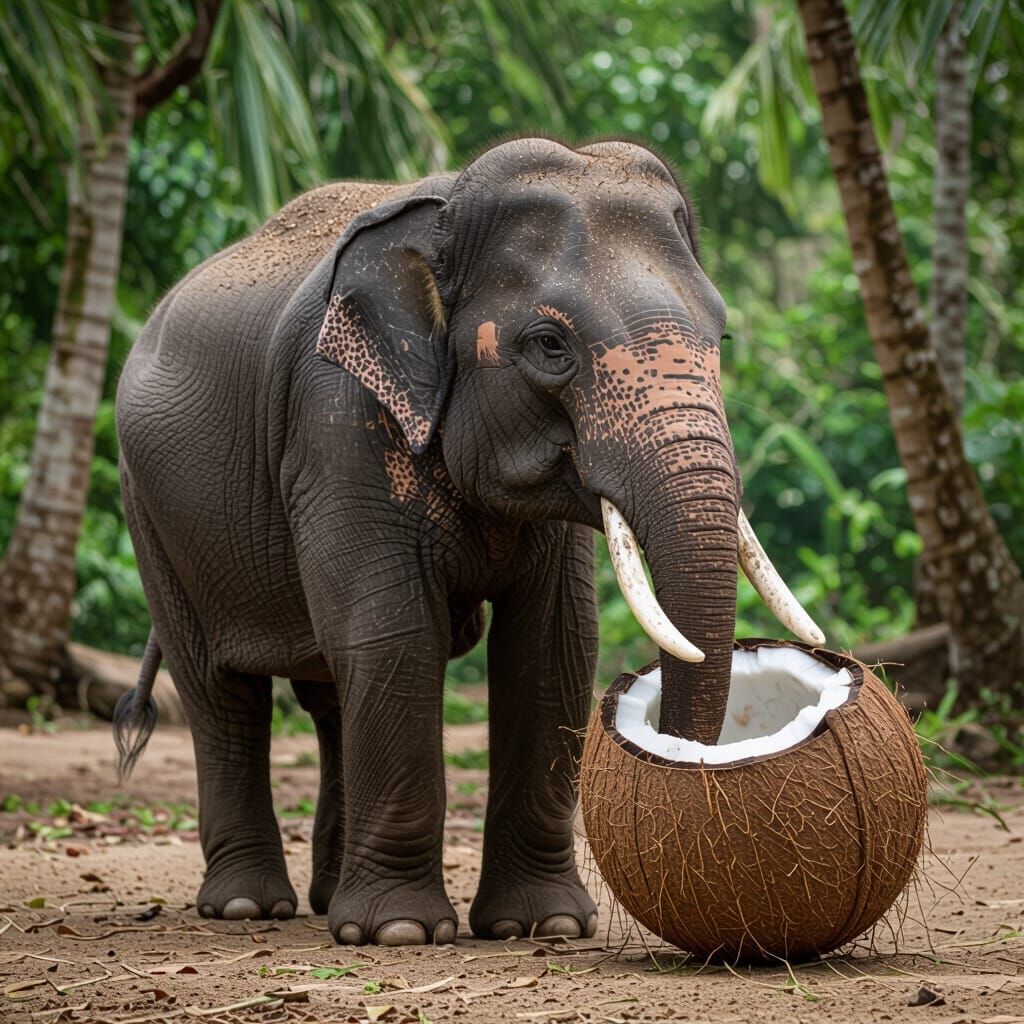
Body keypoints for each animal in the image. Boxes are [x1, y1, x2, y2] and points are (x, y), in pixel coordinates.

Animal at [114, 137, 821, 947]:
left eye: (722, 337)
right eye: (549, 345)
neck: (443, 212)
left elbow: (554, 644)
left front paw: (543, 926)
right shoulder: (337, 417)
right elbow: (392, 632)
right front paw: (399, 932)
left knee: (326, 692)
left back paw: (326, 900)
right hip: (149, 511)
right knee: (220, 690)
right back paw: (247, 907)